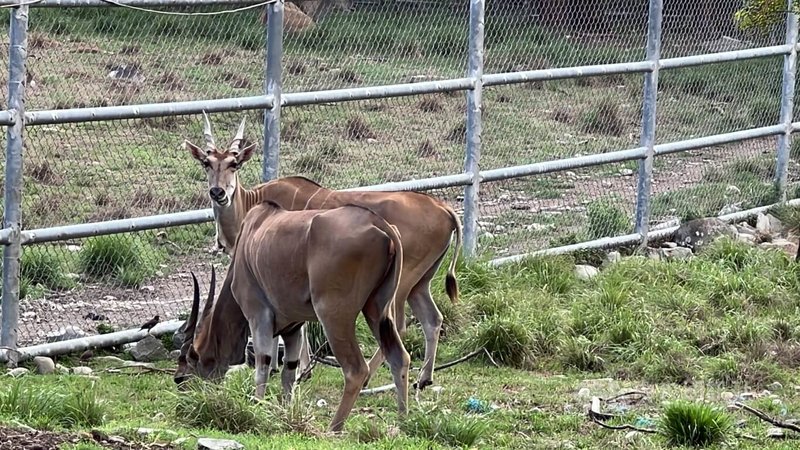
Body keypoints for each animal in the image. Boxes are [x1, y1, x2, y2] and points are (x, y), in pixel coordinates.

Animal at [176, 201, 412, 432]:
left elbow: (263, 365)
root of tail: (380, 223)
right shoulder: (293, 328)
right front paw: (285, 414)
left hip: (334, 316)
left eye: (186, 369)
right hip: (377, 311)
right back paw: (403, 422)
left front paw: (257, 408)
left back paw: (333, 428)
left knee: (356, 370)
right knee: (399, 357)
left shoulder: (258, 315)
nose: (182, 395)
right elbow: (289, 371)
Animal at [185, 112, 462, 390]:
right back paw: (424, 378)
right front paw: (284, 367)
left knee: (401, 325)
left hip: (401, 283)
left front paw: (298, 370)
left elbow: (298, 326)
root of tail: (444, 208)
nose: (218, 192)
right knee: (432, 319)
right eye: (207, 163)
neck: (251, 201)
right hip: (420, 282)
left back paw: (369, 377)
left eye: (234, 164)